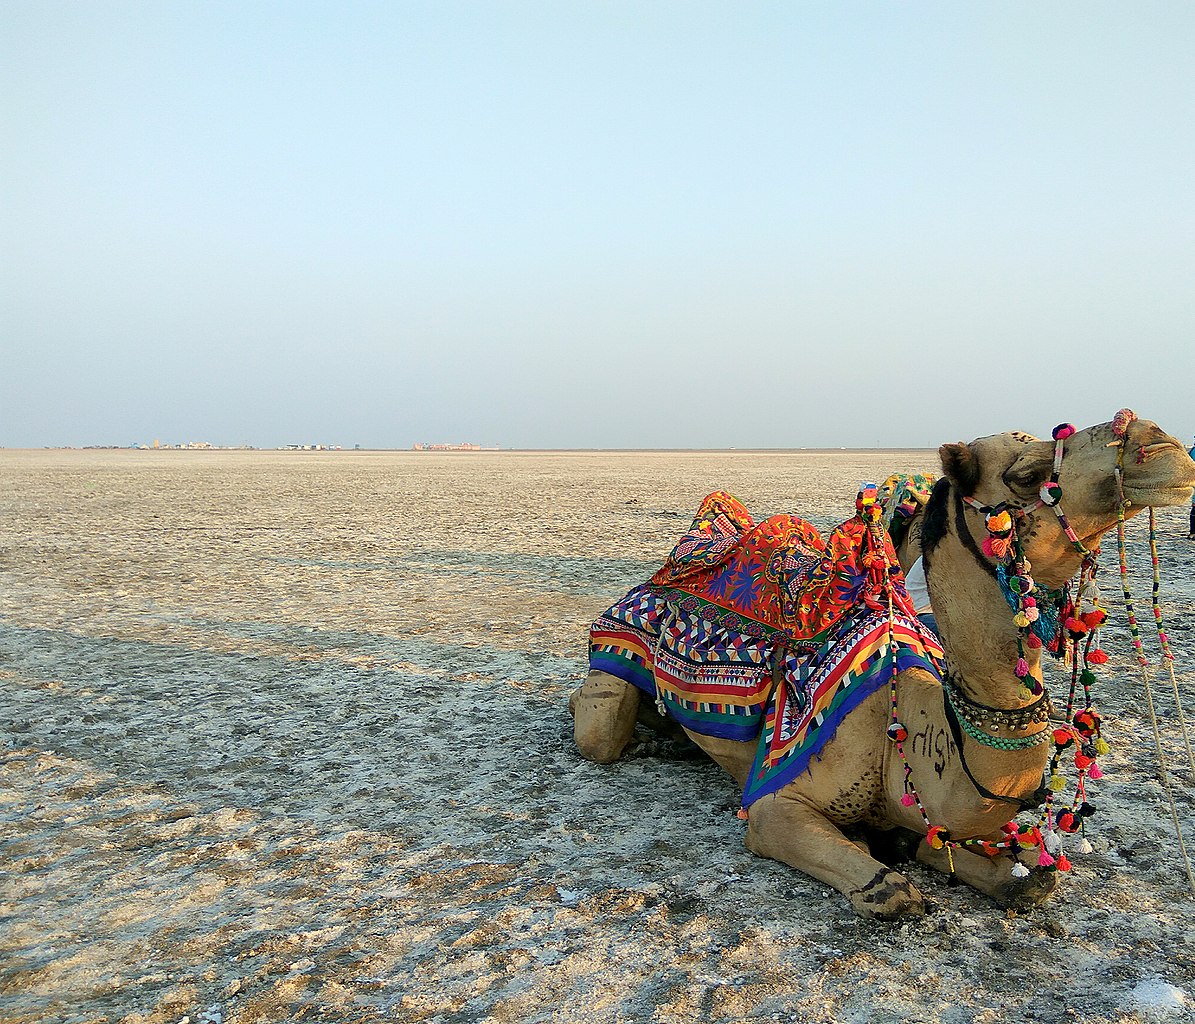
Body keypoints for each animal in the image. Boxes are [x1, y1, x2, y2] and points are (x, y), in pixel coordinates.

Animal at [571, 411, 1195, 912]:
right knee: (597, 725)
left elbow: (1027, 879)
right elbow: (892, 893)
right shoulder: (775, 803)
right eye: (1028, 473)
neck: (915, 736)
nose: (1160, 442)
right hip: (612, 660)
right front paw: (885, 862)